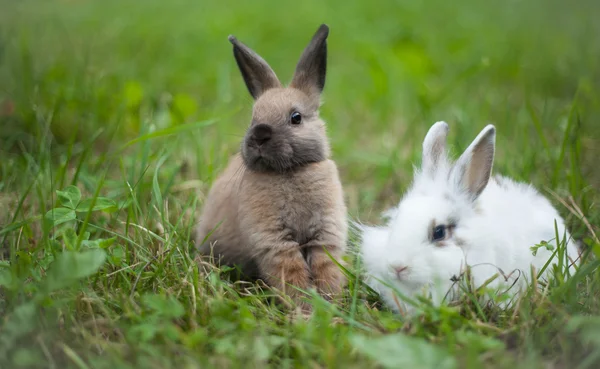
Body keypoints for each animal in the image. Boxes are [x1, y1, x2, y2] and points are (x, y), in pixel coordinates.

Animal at [196, 23, 346, 304]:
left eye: (296, 117)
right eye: (253, 118)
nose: (259, 134)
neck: (288, 172)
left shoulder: (325, 235)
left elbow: (326, 268)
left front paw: (329, 302)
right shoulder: (274, 242)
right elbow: (292, 272)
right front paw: (304, 307)